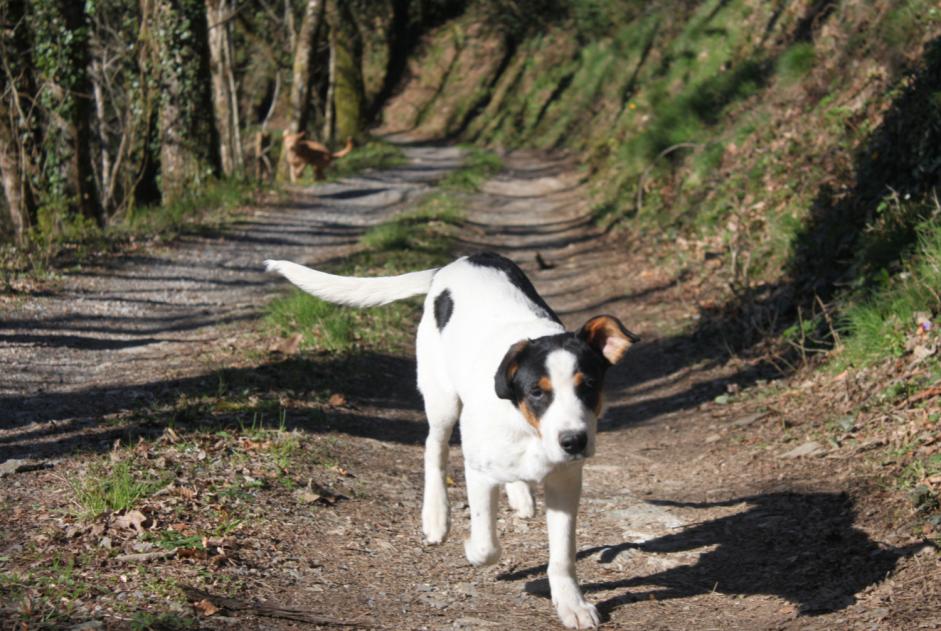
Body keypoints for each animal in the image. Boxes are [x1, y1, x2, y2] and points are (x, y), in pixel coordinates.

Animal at [262, 251, 640, 628]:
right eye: (536, 392)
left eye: (588, 386)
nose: (574, 441)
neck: (527, 427)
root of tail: (456, 263)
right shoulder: (478, 473)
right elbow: (487, 544)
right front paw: (471, 548)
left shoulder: (565, 480)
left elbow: (562, 554)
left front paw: (572, 605)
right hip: (441, 399)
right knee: (435, 449)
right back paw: (436, 517)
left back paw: (519, 496)